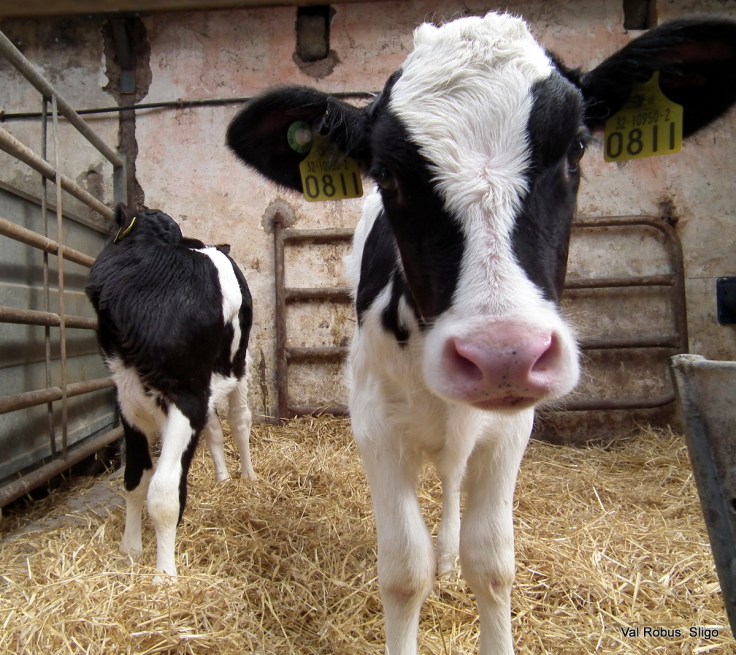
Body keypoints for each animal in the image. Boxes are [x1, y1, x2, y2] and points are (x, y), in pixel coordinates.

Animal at [86, 203, 254, 578]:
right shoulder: (127, 398)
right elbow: (135, 480)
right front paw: (130, 549)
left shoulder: (186, 399)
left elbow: (162, 491)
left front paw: (164, 573)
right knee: (215, 429)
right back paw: (223, 478)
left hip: (239, 365)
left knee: (239, 421)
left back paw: (248, 476)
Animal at [225, 12, 736, 654]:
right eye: (387, 173)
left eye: (576, 146)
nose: (504, 355)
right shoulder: (374, 425)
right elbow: (403, 569)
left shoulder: (510, 431)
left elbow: (491, 562)